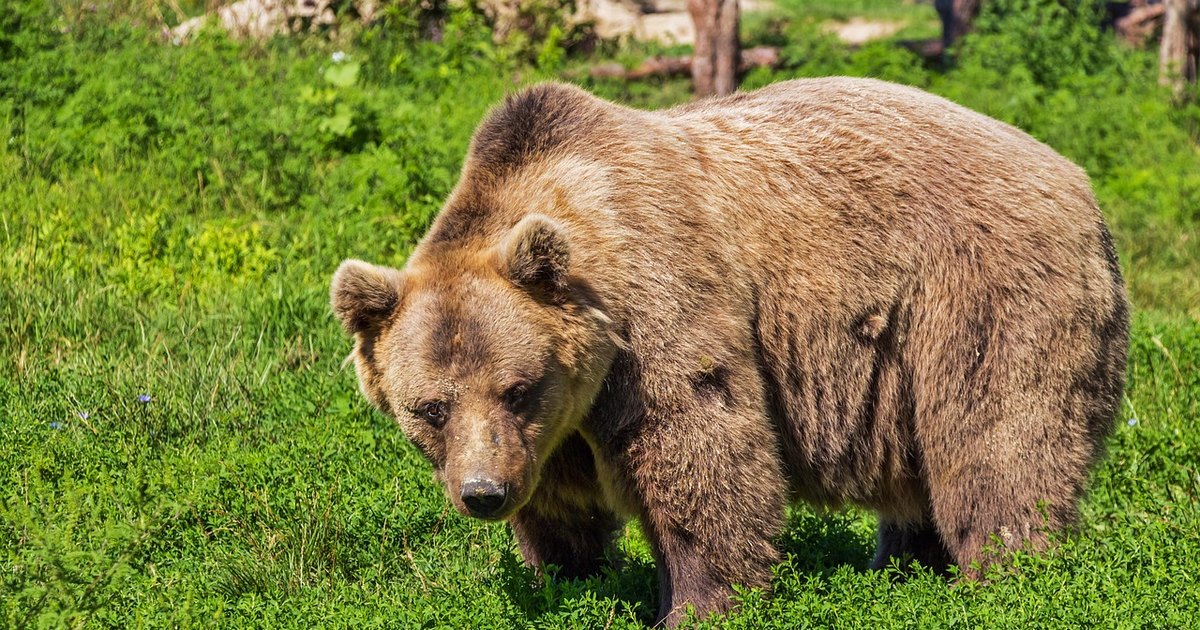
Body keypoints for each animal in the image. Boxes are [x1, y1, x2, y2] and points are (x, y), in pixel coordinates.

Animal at [330, 77, 1129, 625]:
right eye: (430, 408)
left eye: (516, 387)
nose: (483, 493)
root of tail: (1079, 181)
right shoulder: (554, 429)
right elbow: (561, 507)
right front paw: (570, 577)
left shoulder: (658, 309)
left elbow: (702, 451)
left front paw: (697, 603)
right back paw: (901, 569)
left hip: (979, 295)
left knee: (998, 442)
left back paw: (1006, 576)